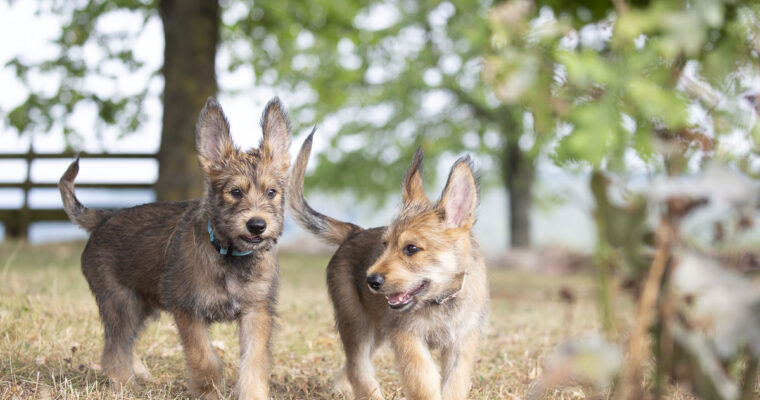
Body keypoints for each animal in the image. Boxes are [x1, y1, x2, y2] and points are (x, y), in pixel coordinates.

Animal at [58, 97, 290, 400]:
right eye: (235, 192)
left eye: (271, 192)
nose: (257, 225)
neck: (228, 255)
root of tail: (104, 217)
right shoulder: (188, 311)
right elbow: (205, 359)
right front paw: (209, 392)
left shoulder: (257, 312)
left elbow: (254, 361)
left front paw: (252, 395)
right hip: (121, 304)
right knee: (113, 350)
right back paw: (127, 385)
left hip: (142, 305)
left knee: (124, 344)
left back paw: (140, 375)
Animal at [288, 134, 490, 400]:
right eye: (384, 245)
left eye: (411, 249)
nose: (371, 281)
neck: (439, 301)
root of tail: (354, 232)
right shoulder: (406, 336)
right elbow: (423, 381)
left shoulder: (461, 344)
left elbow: (454, 385)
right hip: (356, 323)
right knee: (358, 367)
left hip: (377, 334)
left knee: (351, 366)